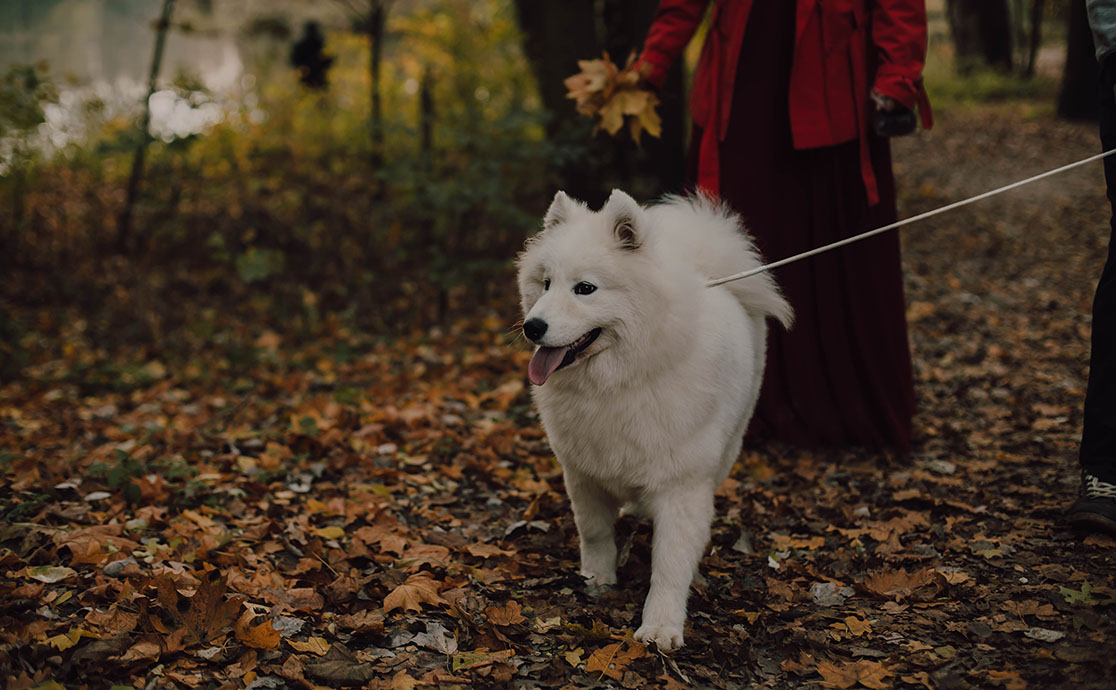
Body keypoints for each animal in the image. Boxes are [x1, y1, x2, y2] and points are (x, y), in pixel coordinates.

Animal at [515, 186, 794, 643]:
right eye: (546, 283)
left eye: (585, 288)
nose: (532, 326)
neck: (620, 381)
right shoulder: (583, 473)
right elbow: (594, 531)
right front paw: (597, 578)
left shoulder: (682, 485)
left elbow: (670, 561)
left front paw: (661, 626)